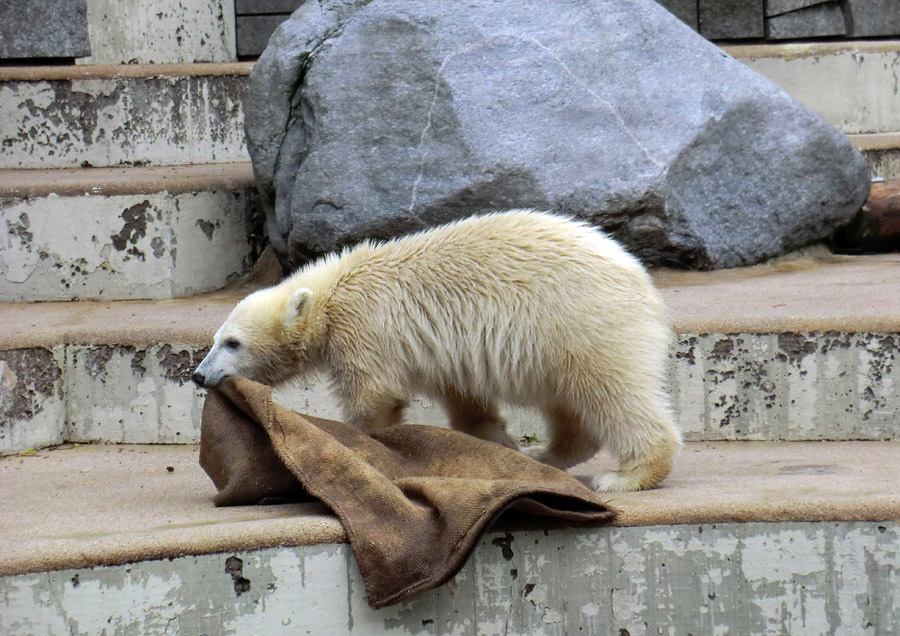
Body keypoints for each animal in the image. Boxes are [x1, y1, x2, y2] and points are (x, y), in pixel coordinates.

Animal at [192, 211, 684, 490]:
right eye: (214, 339)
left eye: (232, 342)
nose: (199, 374)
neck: (332, 291)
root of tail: (641, 279)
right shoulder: (449, 353)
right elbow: (466, 401)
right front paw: (497, 441)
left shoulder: (366, 327)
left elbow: (375, 396)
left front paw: (365, 444)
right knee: (569, 403)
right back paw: (546, 455)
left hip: (582, 322)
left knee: (613, 393)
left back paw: (625, 476)